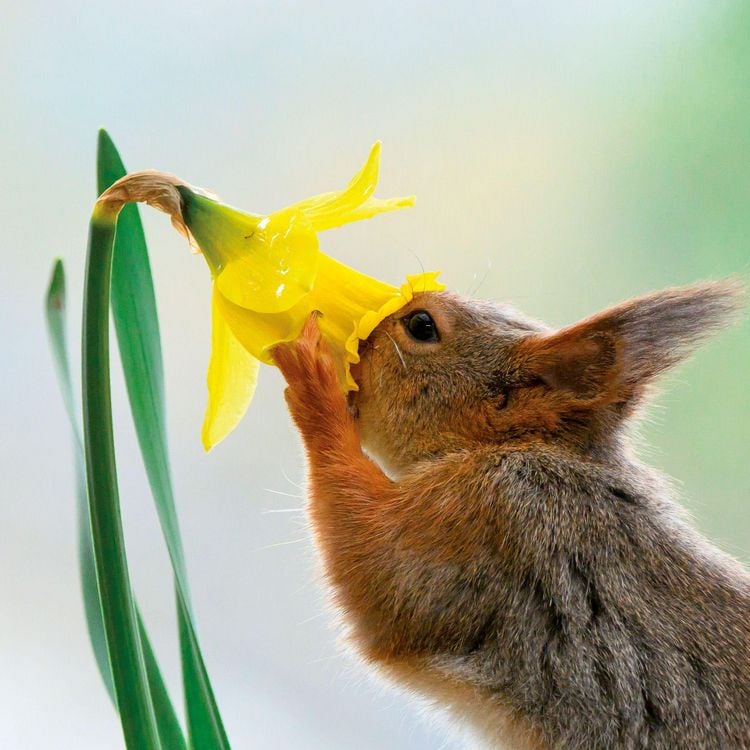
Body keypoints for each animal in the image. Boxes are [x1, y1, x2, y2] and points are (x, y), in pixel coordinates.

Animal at [272, 280, 749, 750]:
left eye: (421, 325)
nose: (360, 335)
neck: (523, 447)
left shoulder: (485, 517)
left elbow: (379, 570)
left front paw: (315, 382)